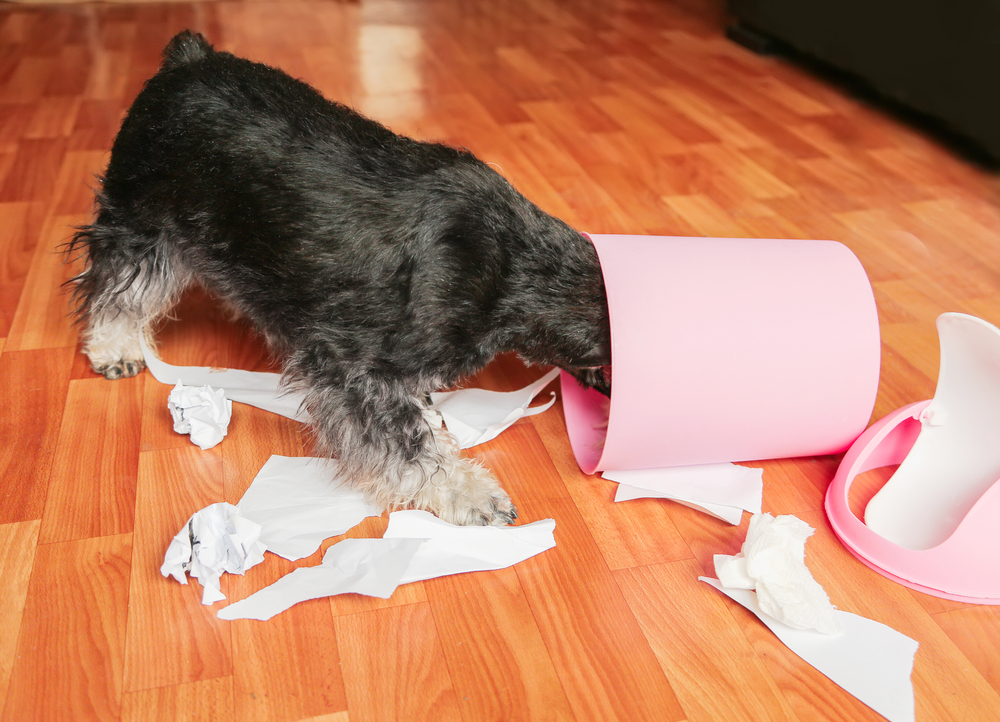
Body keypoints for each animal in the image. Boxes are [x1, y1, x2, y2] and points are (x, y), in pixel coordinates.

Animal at [68, 29, 608, 524]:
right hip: (141, 229)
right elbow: (413, 449)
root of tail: (187, 57)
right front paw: (472, 495)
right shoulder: (355, 371)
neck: (513, 268)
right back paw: (114, 348)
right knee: (114, 289)